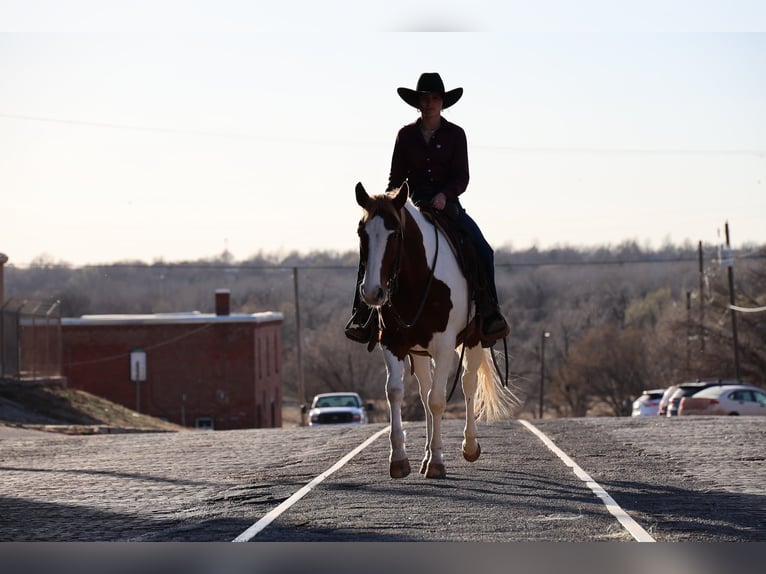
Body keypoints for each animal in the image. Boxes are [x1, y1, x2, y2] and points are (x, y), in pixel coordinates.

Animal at [354, 181, 517, 479]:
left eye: (395, 234)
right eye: (362, 232)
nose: (372, 292)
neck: (417, 279)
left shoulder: (444, 345)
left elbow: (439, 400)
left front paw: (438, 462)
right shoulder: (392, 343)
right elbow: (396, 392)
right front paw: (400, 458)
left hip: (473, 341)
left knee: (467, 384)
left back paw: (469, 446)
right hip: (419, 352)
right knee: (425, 391)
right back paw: (426, 454)